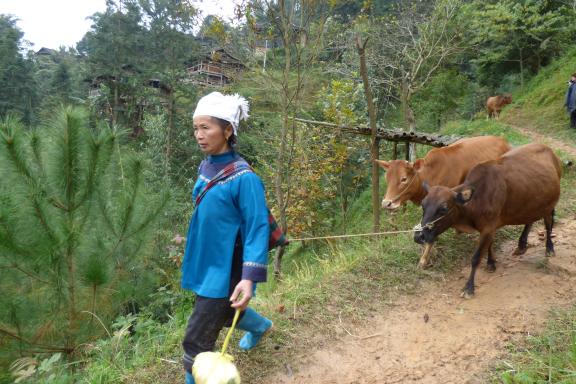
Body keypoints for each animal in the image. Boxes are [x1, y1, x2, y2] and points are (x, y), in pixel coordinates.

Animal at [414, 143, 564, 296]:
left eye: (443, 208)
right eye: (423, 205)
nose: (419, 236)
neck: (478, 198)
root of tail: (549, 151)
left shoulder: (488, 228)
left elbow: (476, 258)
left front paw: (469, 288)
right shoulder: (490, 227)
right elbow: (489, 246)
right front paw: (491, 263)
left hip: (549, 205)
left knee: (548, 223)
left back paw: (549, 248)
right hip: (534, 202)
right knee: (530, 220)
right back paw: (522, 245)